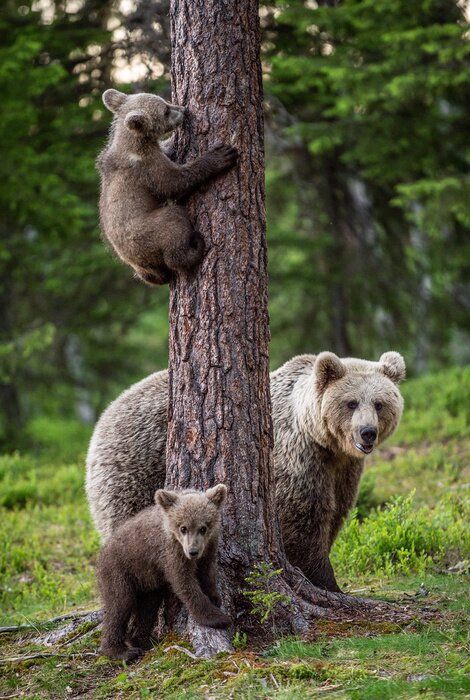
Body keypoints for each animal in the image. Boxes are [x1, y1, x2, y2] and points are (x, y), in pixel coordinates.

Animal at [86, 351, 405, 592]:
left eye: (380, 403)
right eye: (351, 403)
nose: (367, 433)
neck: (322, 440)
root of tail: (106, 414)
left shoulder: (343, 470)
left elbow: (335, 512)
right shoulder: (296, 458)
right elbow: (303, 518)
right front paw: (325, 580)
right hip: (134, 467)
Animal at [98, 89, 238, 286]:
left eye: (165, 102)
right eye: (165, 111)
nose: (184, 110)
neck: (136, 143)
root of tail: (139, 263)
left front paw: (171, 142)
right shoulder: (147, 167)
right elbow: (173, 182)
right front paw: (220, 156)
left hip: (144, 267)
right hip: (148, 232)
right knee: (174, 223)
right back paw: (195, 246)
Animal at [98, 484, 229, 661]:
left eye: (203, 528)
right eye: (183, 528)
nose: (193, 551)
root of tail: (103, 551)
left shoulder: (209, 547)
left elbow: (207, 571)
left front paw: (215, 597)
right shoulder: (170, 553)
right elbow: (184, 583)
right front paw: (218, 618)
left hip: (146, 580)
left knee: (147, 607)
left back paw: (144, 640)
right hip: (119, 570)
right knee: (119, 605)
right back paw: (119, 650)